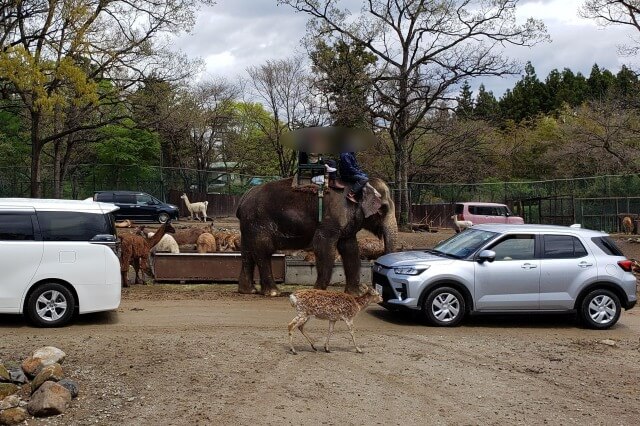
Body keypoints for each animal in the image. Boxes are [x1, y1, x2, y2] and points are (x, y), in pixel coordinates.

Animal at [235, 176, 396, 296]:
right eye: (382, 209)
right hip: (258, 222)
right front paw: (318, 291)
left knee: (247, 253)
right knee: (264, 251)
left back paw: (248, 291)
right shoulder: (331, 218)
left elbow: (350, 249)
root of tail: (243, 198)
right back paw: (273, 292)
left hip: (248, 225)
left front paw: (355, 294)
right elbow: (323, 246)